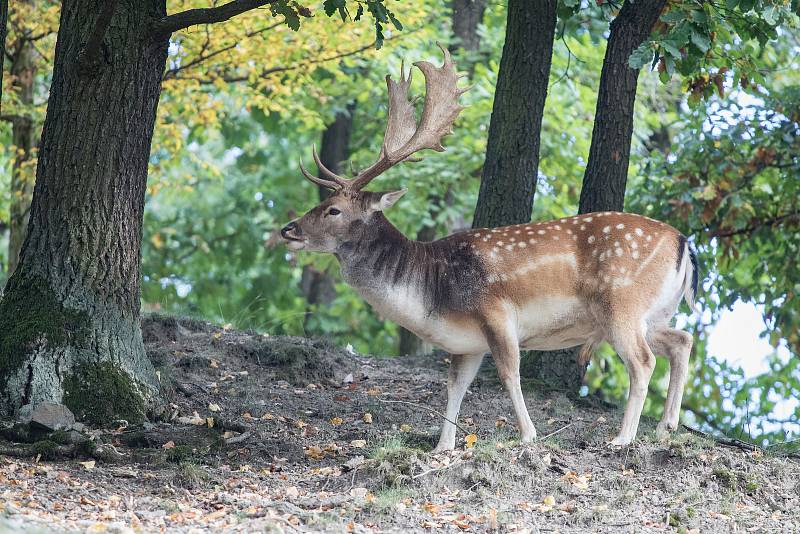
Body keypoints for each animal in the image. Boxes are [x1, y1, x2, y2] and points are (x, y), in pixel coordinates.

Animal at [282, 45, 700, 452]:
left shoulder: (496, 311)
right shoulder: (466, 343)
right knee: (682, 340)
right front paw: (442, 447)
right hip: (654, 313)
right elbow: (454, 386)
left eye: (333, 209)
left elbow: (508, 373)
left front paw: (528, 434)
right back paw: (666, 426)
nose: (289, 229)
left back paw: (623, 437)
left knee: (643, 362)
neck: (431, 292)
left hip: (621, 302)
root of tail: (684, 243)